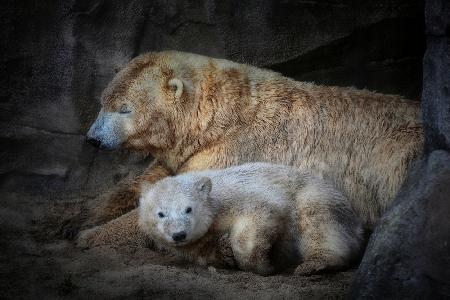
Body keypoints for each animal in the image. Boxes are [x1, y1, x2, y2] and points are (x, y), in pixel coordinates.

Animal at [139, 163, 364, 276]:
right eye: (161, 213)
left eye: (188, 209)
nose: (179, 234)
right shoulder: (196, 242)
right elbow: (205, 249)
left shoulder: (239, 195)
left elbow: (263, 212)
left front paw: (265, 264)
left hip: (319, 197)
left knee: (317, 220)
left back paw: (315, 263)